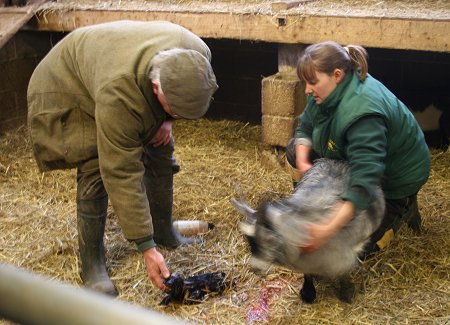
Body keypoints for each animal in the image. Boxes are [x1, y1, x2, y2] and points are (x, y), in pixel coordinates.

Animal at [234, 158, 384, 302]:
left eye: (269, 239)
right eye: (248, 239)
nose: (255, 268)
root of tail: (338, 162)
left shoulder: (343, 258)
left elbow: (344, 274)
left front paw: (346, 292)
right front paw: (308, 291)